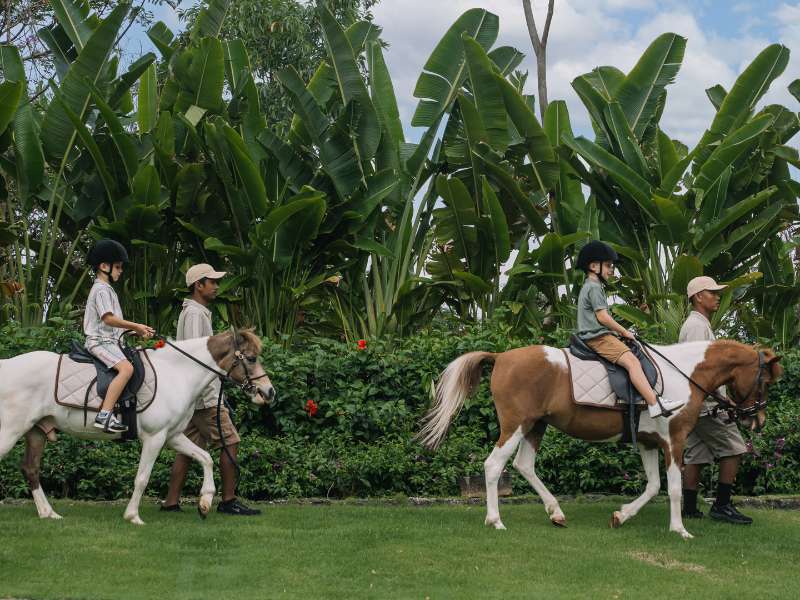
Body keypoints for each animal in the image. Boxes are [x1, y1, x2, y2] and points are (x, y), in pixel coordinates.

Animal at [0, 330, 275, 525]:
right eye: (251, 358)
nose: (269, 392)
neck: (178, 373)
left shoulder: (173, 436)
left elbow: (205, 457)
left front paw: (205, 502)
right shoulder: (154, 438)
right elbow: (142, 478)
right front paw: (133, 516)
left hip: (36, 431)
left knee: (30, 469)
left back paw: (48, 513)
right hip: (10, 431)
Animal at [417, 339, 782, 539]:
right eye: (765, 382)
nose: (757, 419)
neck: (685, 373)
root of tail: (501, 357)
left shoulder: (648, 442)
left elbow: (653, 486)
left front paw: (621, 515)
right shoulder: (673, 441)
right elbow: (675, 488)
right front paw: (679, 529)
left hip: (536, 426)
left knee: (524, 465)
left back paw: (555, 512)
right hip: (517, 425)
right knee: (494, 466)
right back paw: (495, 520)